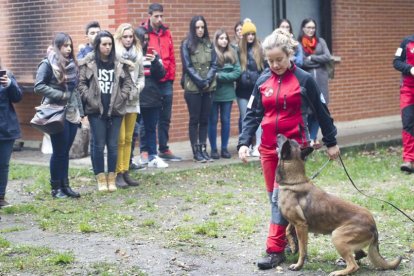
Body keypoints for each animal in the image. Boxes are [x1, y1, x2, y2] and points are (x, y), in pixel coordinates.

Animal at [274, 135, 402, 276]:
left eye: (285, 141)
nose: (278, 134)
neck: (293, 181)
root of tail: (374, 225)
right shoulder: (297, 222)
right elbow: (287, 230)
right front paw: (292, 245)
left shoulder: (301, 225)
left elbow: (303, 249)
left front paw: (298, 265)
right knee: (360, 255)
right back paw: (343, 261)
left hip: (337, 236)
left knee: (354, 265)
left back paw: (339, 271)